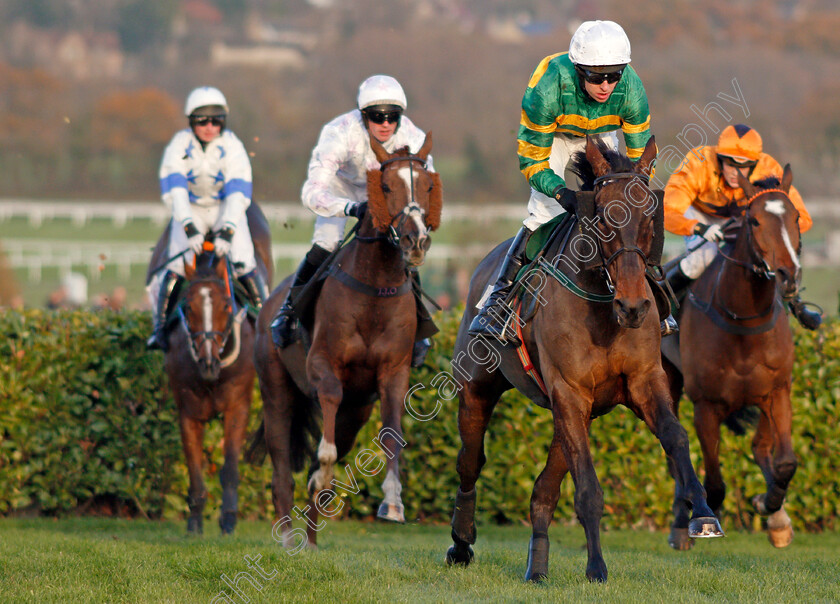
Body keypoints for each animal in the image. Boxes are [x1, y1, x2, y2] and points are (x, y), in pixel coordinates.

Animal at [145, 205, 272, 536]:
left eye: (226, 306)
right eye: (188, 306)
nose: (208, 363)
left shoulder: (237, 405)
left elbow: (229, 468)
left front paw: (228, 519)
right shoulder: (187, 409)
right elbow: (194, 468)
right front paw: (194, 521)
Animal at [249, 134, 442, 548]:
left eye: (428, 186)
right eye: (385, 186)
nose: (416, 240)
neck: (374, 291)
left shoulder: (392, 374)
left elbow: (391, 433)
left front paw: (392, 503)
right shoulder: (323, 364)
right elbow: (328, 415)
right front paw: (322, 471)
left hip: (357, 413)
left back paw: (310, 540)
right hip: (276, 393)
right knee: (281, 470)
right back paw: (287, 536)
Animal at [446, 138, 720, 584]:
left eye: (650, 214)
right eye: (604, 216)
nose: (634, 307)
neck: (602, 305)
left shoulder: (641, 382)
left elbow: (677, 438)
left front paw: (704, 515)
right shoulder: (569, 390)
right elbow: (588, 487)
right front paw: (596, 567)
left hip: (577, 411)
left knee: (543, 490)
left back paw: (537, 566)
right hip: (478, 389)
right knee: (470, 463)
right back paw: (461, 543)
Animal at [664, 168, 800, 548]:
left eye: (796, 217)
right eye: (754, 220)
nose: (789, 276)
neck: (744, 322)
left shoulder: (777, 392)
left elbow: (784, 463)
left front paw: (770, 509)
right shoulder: (706, 406)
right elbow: (714, 483)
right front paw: (698, 521)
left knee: (760, 447)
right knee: (675, 457)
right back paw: (679, 520)